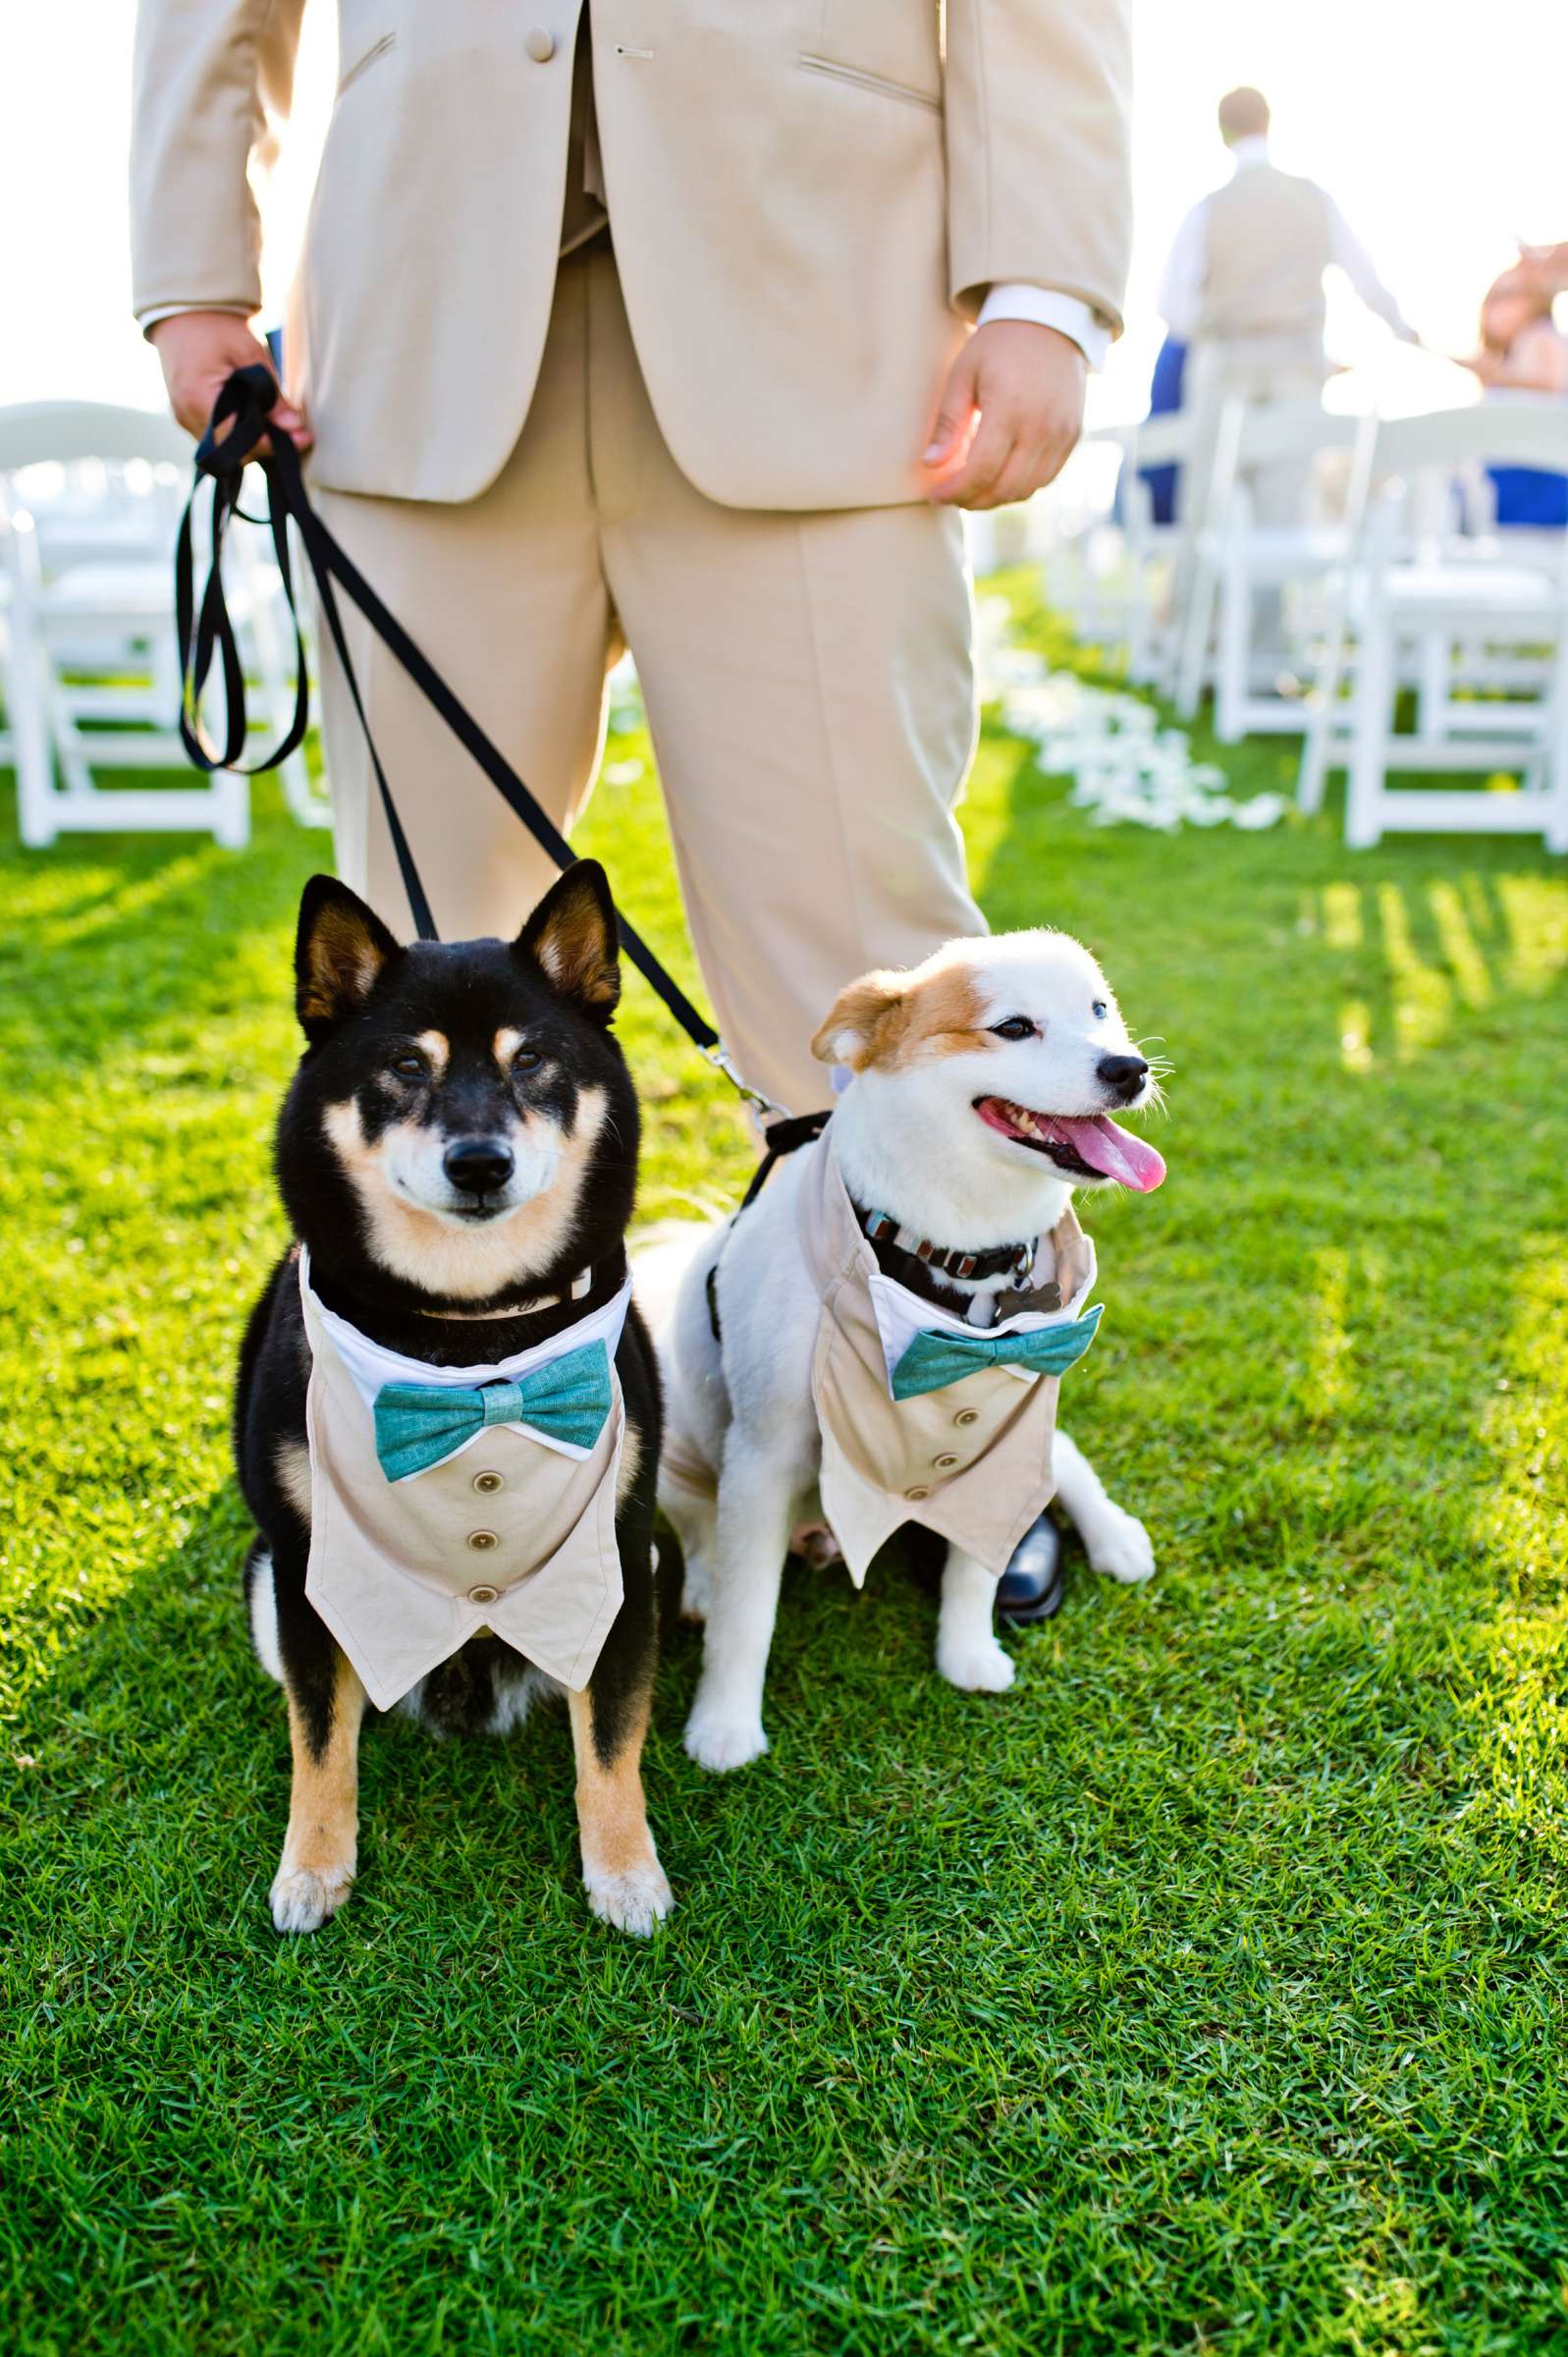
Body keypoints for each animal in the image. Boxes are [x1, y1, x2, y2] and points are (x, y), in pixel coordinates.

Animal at [237, 862, 665, 1933]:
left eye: (532, 1062)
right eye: (404, 1066)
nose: (478, 1161)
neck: (471, 1335)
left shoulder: (618, 1563)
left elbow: (610, 1741)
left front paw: (625, 1871)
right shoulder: (305, 1568)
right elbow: (319, 1741)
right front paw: (312, 1868)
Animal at [641, 919, 1169, 1772]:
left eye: (1099, 1010)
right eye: (1012, 1027)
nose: (1127, 1067)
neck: (952, 1252)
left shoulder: (1005, 1429)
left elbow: (975, 1567)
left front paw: (967, 1653)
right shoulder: (762, 1452)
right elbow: (745, 1615)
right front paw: (722, 1727)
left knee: (1066, 1459)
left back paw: (1113, 1534)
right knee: (696, 1526)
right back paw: (698, 1583)